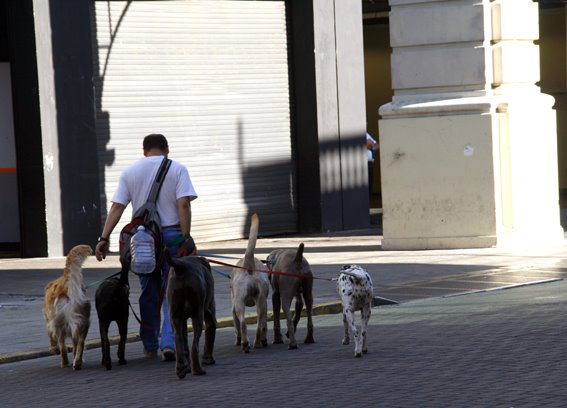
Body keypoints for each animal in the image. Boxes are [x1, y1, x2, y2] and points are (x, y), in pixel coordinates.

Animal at [42, 244, 92, 372]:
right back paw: (77, 362)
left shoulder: (53, 324)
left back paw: (64, 363)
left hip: (59, 323)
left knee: (63, 346)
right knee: (81, 343)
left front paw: (54, 349)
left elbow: (59, 343)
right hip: (84, 320)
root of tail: (65, 283)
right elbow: (75, 344)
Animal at [165, 252, 219, 380]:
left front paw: (187, 367)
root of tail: (180, 266)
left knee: (178, 340)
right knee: (195, 345)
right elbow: (210, 330)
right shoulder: (209, 311)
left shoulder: (182, 320)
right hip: (197, 314)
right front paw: (208, 359)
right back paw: (198, 370)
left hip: (174, 314)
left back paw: (181, 369)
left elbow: (184, 343)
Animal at [230, 212, 270, 352]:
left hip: (239, 302)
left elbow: (236, 326)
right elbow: (264, 325)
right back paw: (257, 343)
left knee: (242, 322)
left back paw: (246, 343)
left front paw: (237, 340)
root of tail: (248, 265)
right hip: (261, 301)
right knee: (260, 324)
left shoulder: (233, 308)